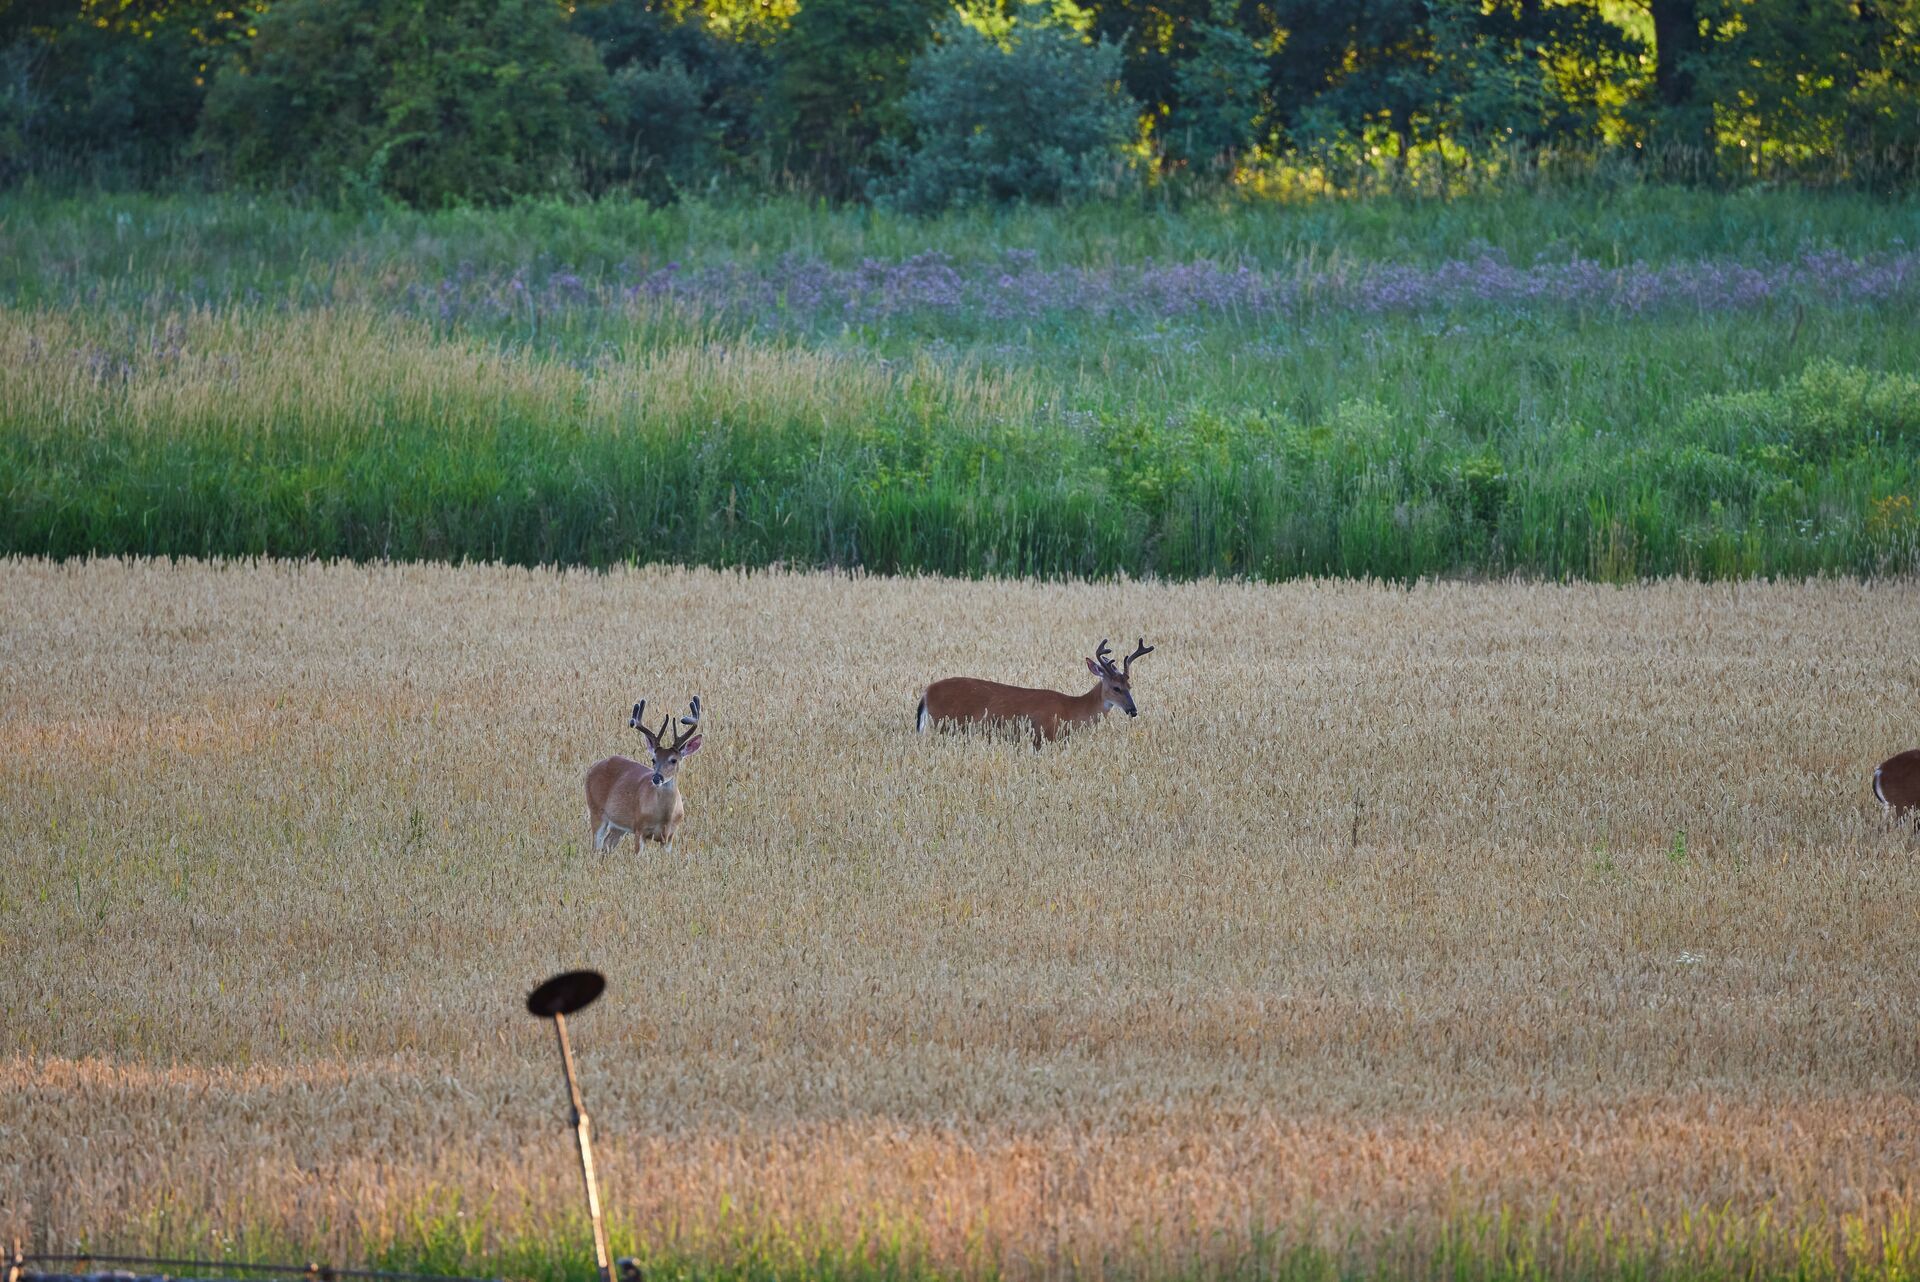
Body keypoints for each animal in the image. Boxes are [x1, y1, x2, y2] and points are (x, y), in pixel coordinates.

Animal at [587, 690, 710, 852]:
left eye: (674, 760)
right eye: (653, 759)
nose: (657, 778)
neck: (664, 818)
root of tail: (592, 768)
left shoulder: (669, 837)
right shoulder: (639, 829)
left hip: (618, 826)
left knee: (606, 846)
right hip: (596, 811)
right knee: (596, 847)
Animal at [917, 637, 1152, 744]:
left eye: (1130, 686)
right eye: (1116, 688)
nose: (1133, 710)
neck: (1072, 710)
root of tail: (926, 693)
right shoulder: (1043, 735)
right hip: (945, 724)